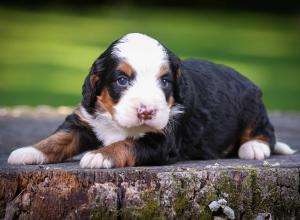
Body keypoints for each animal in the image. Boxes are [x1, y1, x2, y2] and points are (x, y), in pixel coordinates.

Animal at [7, 32, 296, 168]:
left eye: (165, 81)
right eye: (122, 80)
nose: (146, 111)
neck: (118, 124)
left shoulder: (163, 140)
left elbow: (127, 144)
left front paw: (100, 156)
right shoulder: (84, 120)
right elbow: (59, 138)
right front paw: (28, 151)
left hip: (252, 107)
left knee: (266, 133)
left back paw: (254, 147)